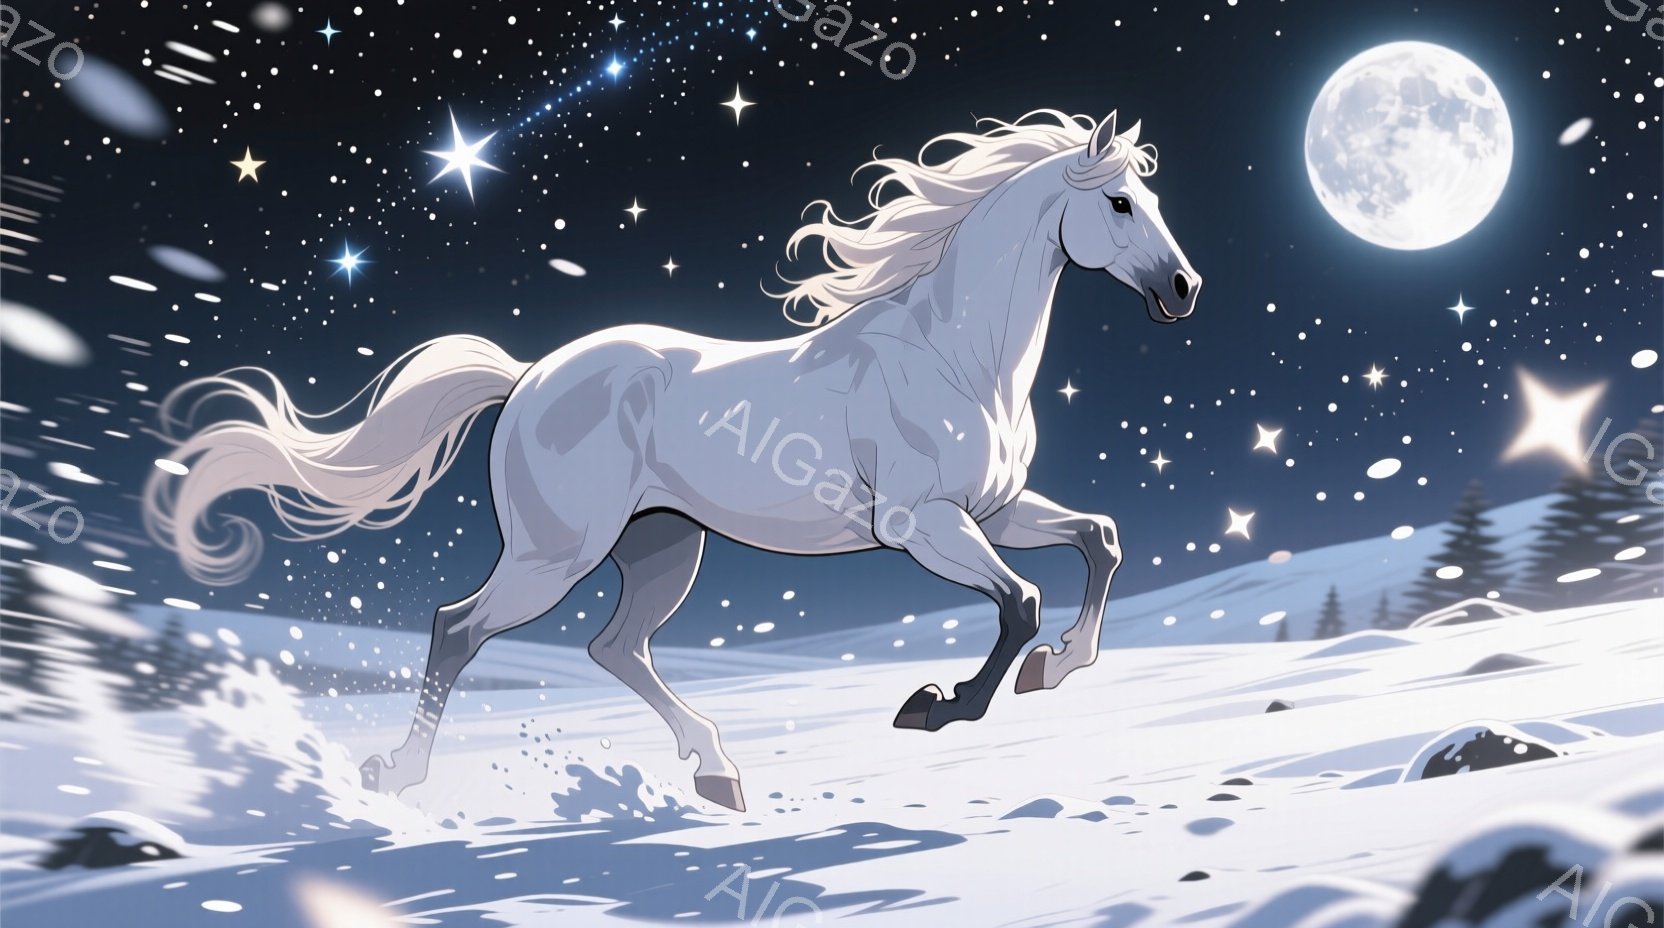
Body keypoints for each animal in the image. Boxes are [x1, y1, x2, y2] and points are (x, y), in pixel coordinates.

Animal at [144, 109, 1200, 812]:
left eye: (1155, 198)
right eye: (1119, 202)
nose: (1185, 289)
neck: (954, 354)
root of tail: (527, 377)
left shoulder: (997, 509)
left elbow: (1099, 540)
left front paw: (1057, 669)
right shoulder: (924, 526)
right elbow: (1019, 601)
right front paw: (938, 708)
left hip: (662, 546)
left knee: (615, 647)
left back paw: (718, 773)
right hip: (555, 552)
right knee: (457, 627)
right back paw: (396, 776)